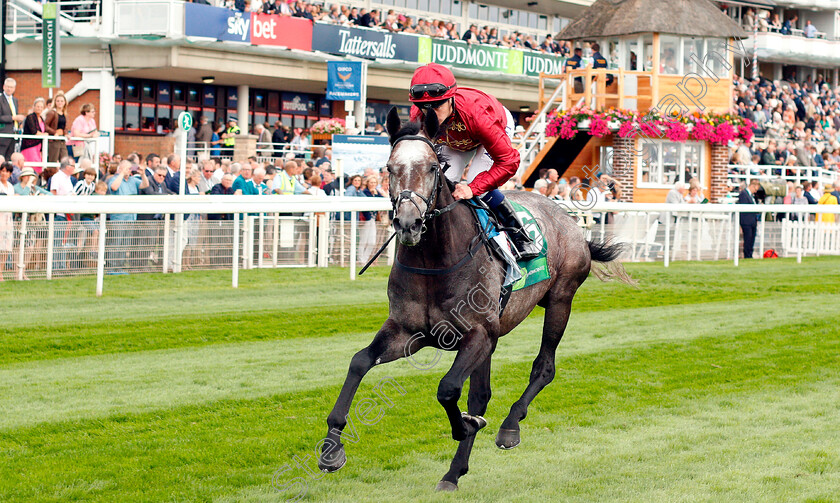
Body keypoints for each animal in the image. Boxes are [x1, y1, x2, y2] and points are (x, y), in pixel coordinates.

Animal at [318, 108, 632, 490]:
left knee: (543, 367)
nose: (408, 224)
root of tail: (568, 219)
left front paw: (465, 425)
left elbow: (448, 388)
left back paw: (508, 428)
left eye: (432, 168)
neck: (436, 261)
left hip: (560, 300)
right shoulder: (408, 332)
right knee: (481, 394)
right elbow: (359, 362)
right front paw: (331, 449)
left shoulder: (477, 333)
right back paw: (454, 472)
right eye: (389, 168)